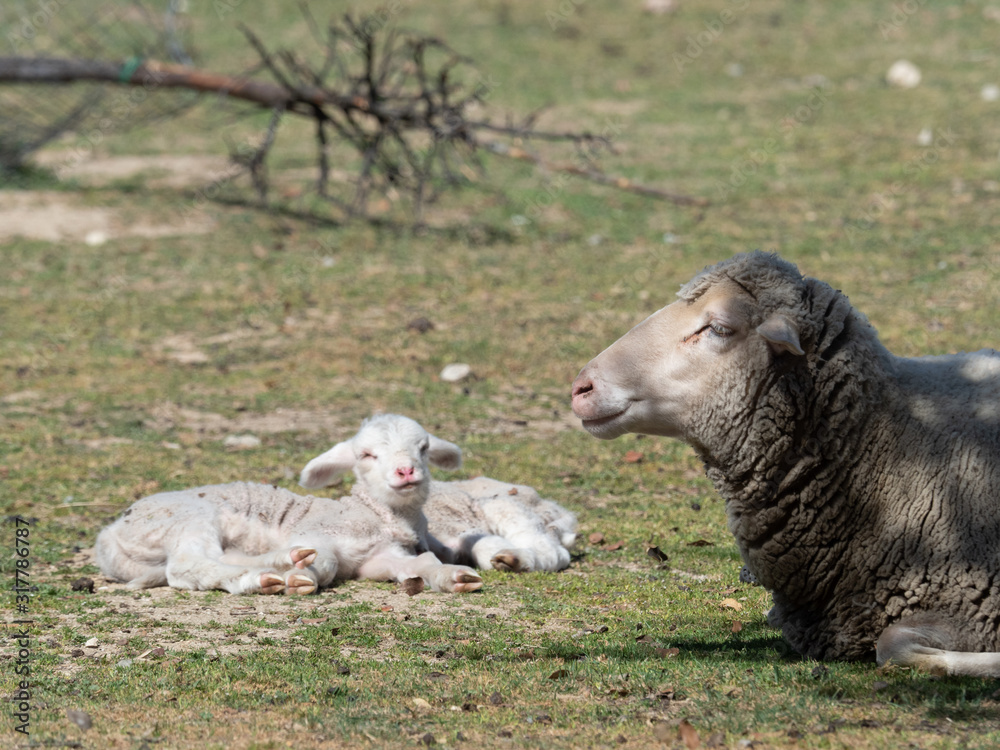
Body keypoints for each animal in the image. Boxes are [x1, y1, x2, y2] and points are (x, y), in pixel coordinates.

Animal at [95, 414, 483, 595]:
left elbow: (422, 562)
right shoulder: (320, 532)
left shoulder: (379, 560)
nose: (406, 471)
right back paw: (269, 572)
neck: (372, 514)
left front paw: (455, 576)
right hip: (186, 518)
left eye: (423, 448)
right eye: (366, 455)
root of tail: (109, 534)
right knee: (187, 566)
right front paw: (304, 576)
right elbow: (326, 562)